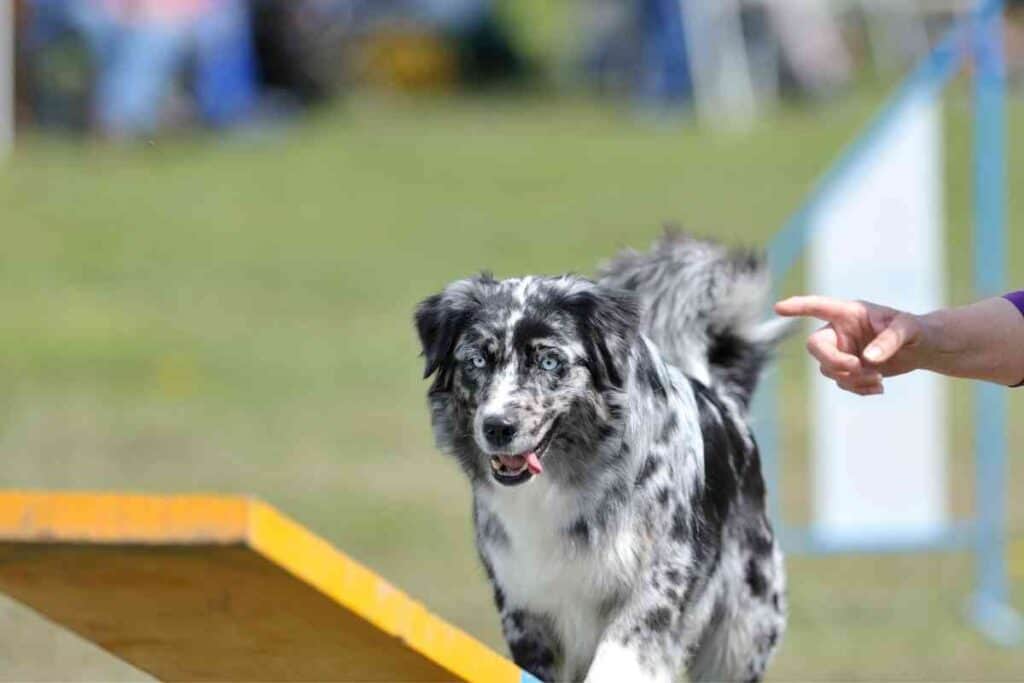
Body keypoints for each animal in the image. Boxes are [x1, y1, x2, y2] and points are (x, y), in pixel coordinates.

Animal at [411, 232, 786, 679]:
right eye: (477, 360)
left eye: (549, 361)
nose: (498, 427)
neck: (564, 480)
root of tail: (724, 400)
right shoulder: (525, 600)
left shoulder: (659, 579)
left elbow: (620, 653)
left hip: (741, 632)